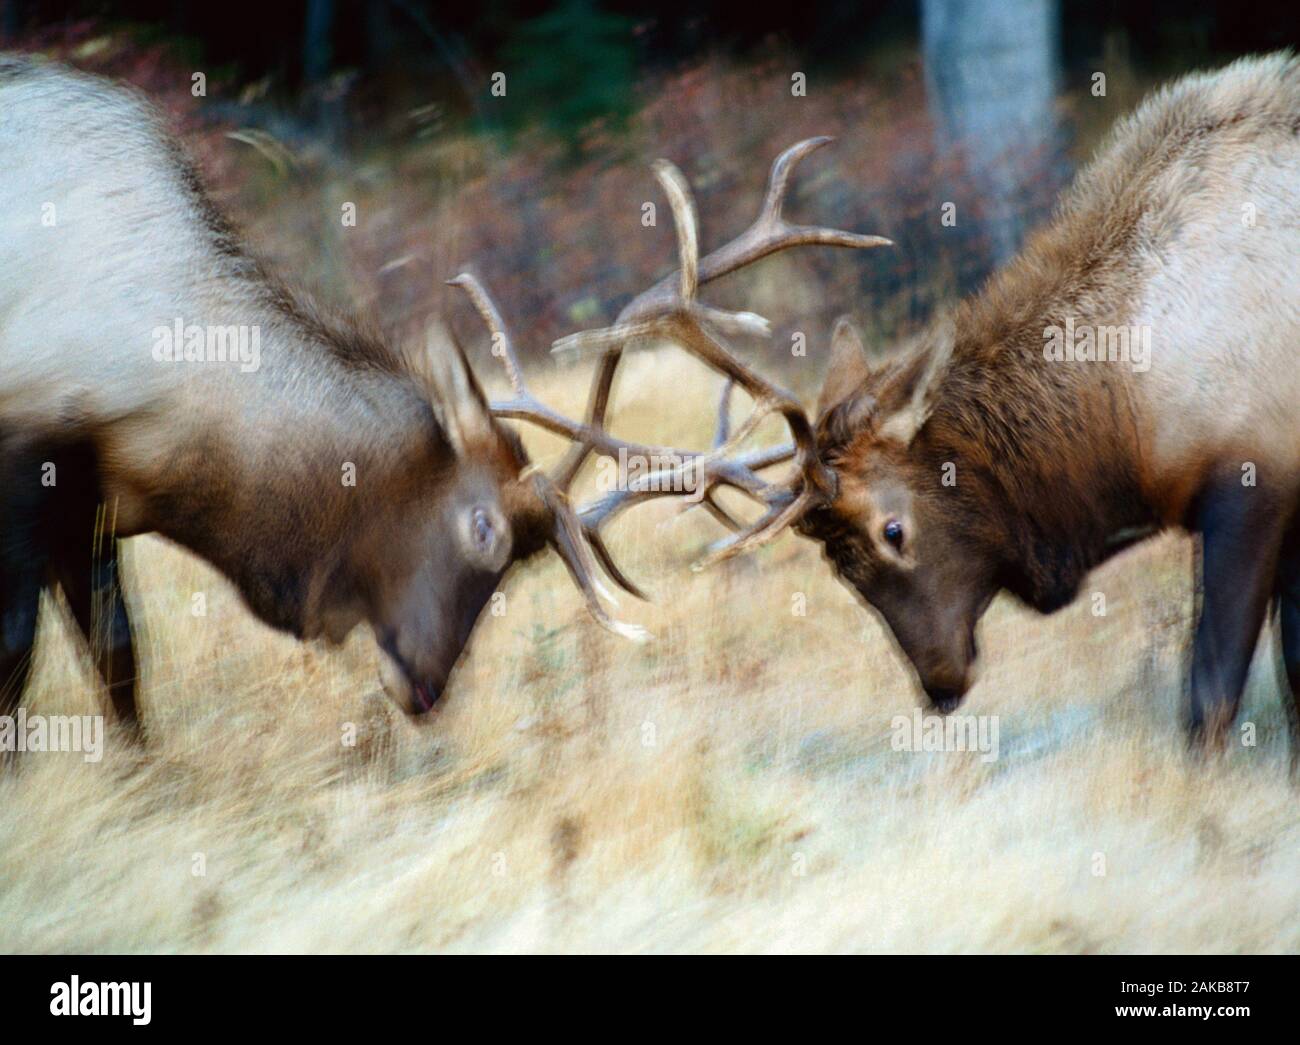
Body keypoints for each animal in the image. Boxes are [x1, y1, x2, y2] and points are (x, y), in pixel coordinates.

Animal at [0, 49, 883, 733]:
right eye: (482, 528)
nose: (427, 690)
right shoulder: (31, 462)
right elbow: (20, 663)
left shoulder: (86, 506)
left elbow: (118, 659)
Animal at [564, 52, 1300, 748]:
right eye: (835, 565)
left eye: (894, 530)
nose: (939, 685)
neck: (1132, 408)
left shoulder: (1252, 479)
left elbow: (1211, 695)